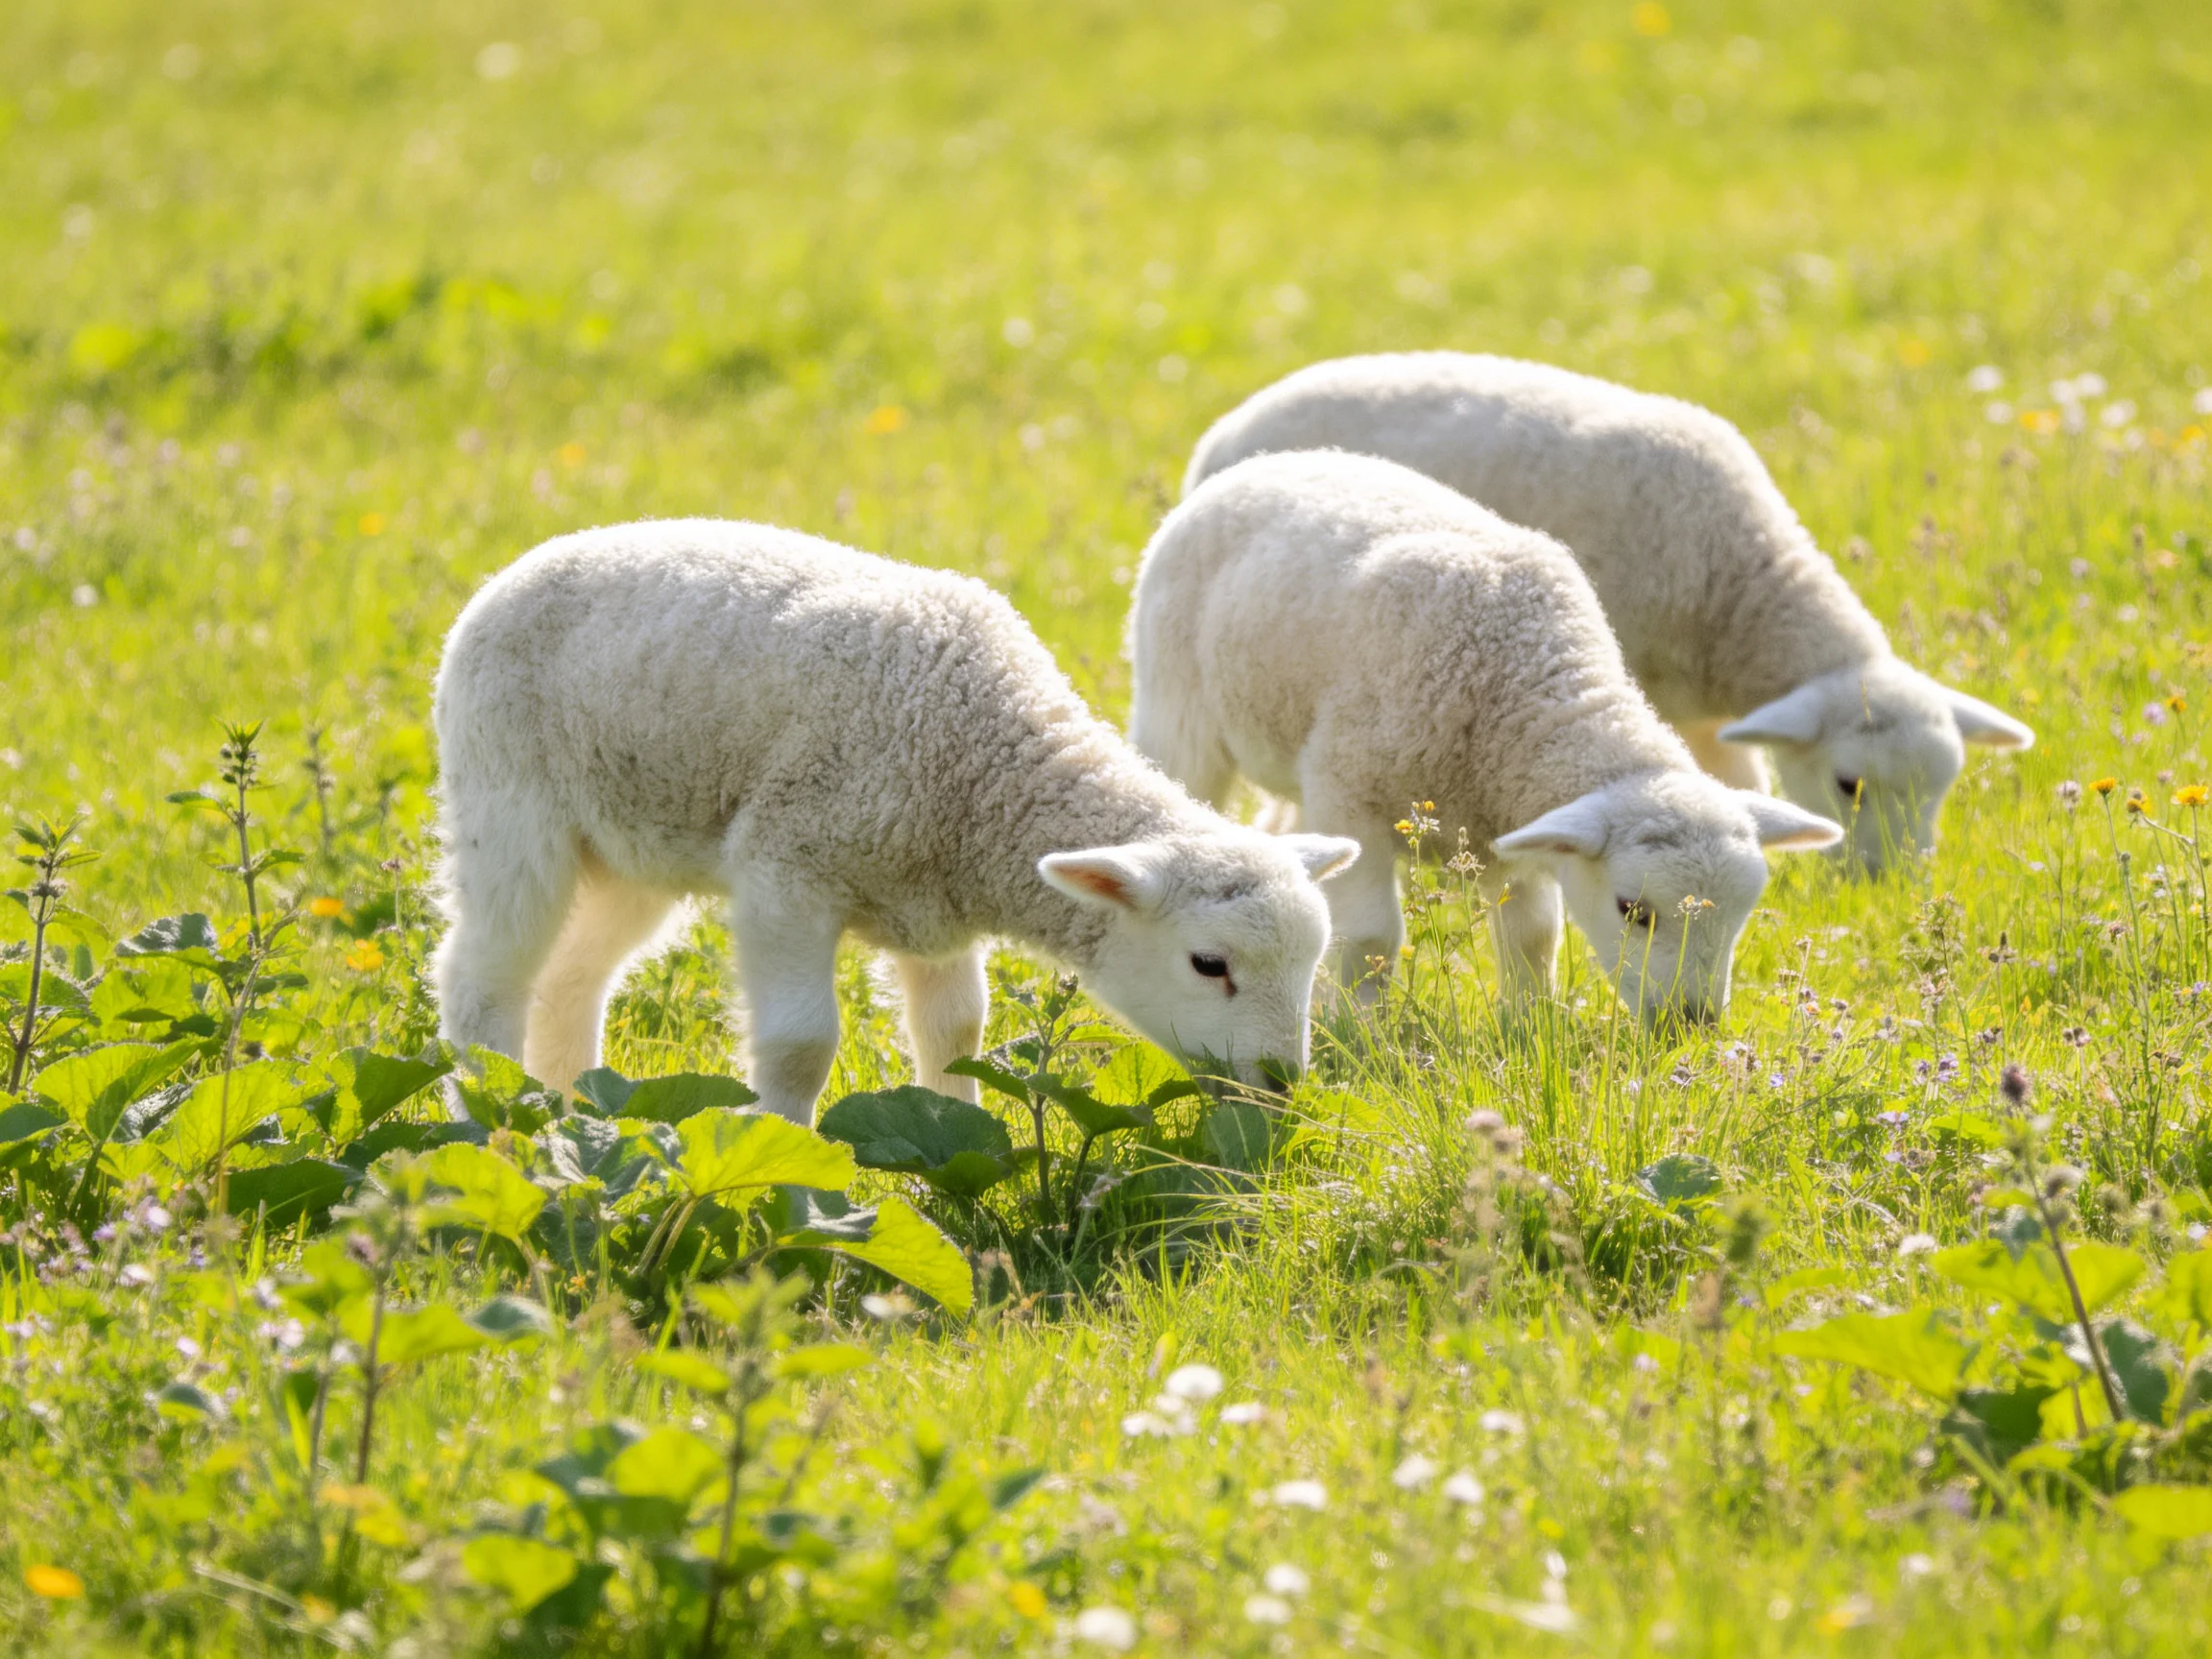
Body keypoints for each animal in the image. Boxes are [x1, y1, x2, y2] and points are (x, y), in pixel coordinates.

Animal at [430, 518, 1359, 1124]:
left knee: (572, 980)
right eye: (1210, 965)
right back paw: (493, 1128)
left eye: (1314, 964)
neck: (980, 767)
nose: (1282, 1083)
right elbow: (800, 1046)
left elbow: (955, 1034)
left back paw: (566, 1117)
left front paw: (955, 1139)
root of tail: (519, 567)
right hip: (509, 806)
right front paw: (782, 1173)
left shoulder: (935, 909)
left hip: (628, 849)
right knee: (484, 980)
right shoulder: (785, 869)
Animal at [1129, 451, 1844, 1021]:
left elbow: (1532, 935)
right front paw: (1361, 1035)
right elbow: (1370, 938)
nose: (1690, 1023)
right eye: (1633, 911)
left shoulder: (1506, 823)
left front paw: (1529, 1024)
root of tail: (1270, 460)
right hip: (1177, 707)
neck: (1517, 679)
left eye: (1741, 915)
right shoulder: (1351, 791)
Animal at [1184, 352, 2034, 873]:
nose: (1891, 880)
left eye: (1946, 786)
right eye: (1849, 783)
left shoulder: (1701, 712)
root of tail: (1224, 430)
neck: (1740, 586)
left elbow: (1735, 778)